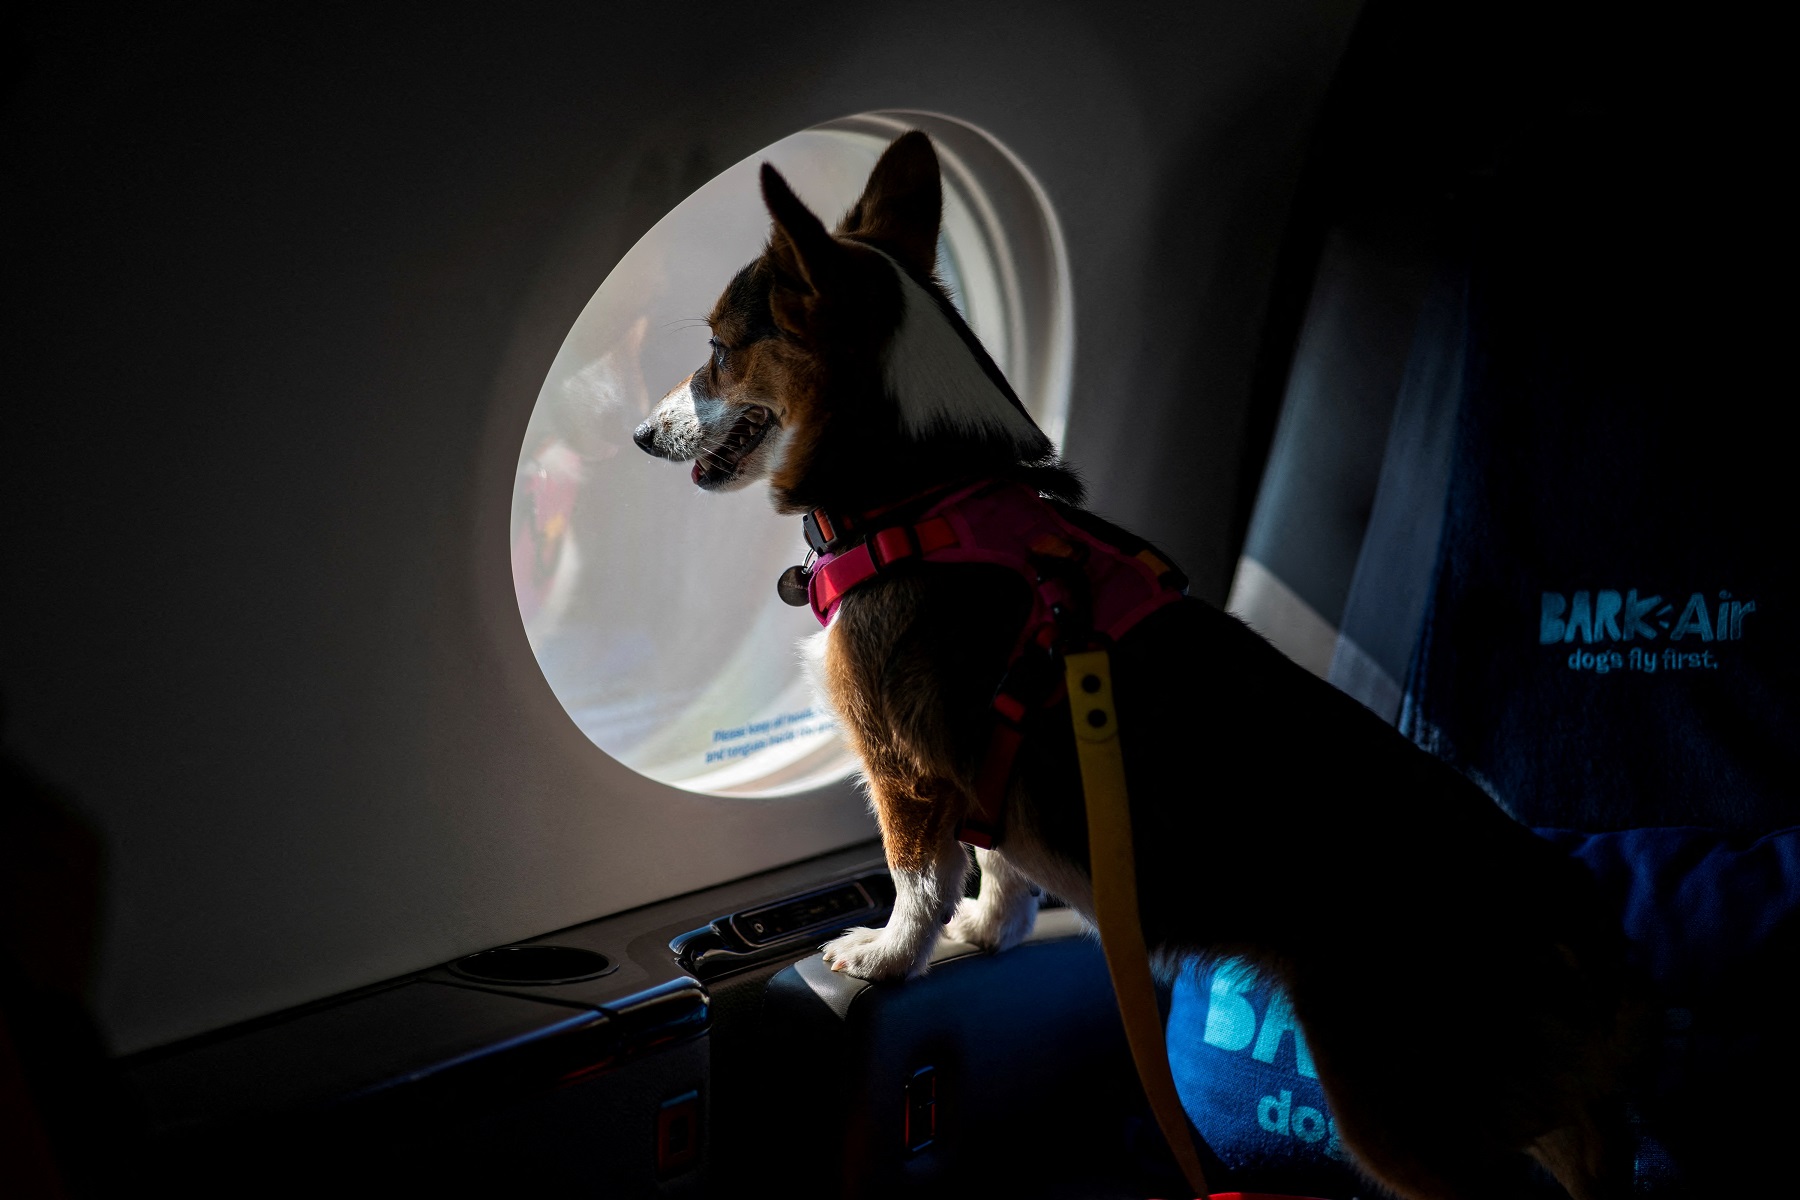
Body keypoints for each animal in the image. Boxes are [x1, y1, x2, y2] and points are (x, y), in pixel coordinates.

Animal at [633, 134, 1648, 1200]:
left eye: (718, 349)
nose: (640, 436)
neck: (921, 491)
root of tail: (1588, 938)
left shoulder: (901, 767)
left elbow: (918, 879)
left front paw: (886, 956)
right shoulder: (984, 776)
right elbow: (999, 868)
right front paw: (988, 934)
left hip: (1401, 1110)